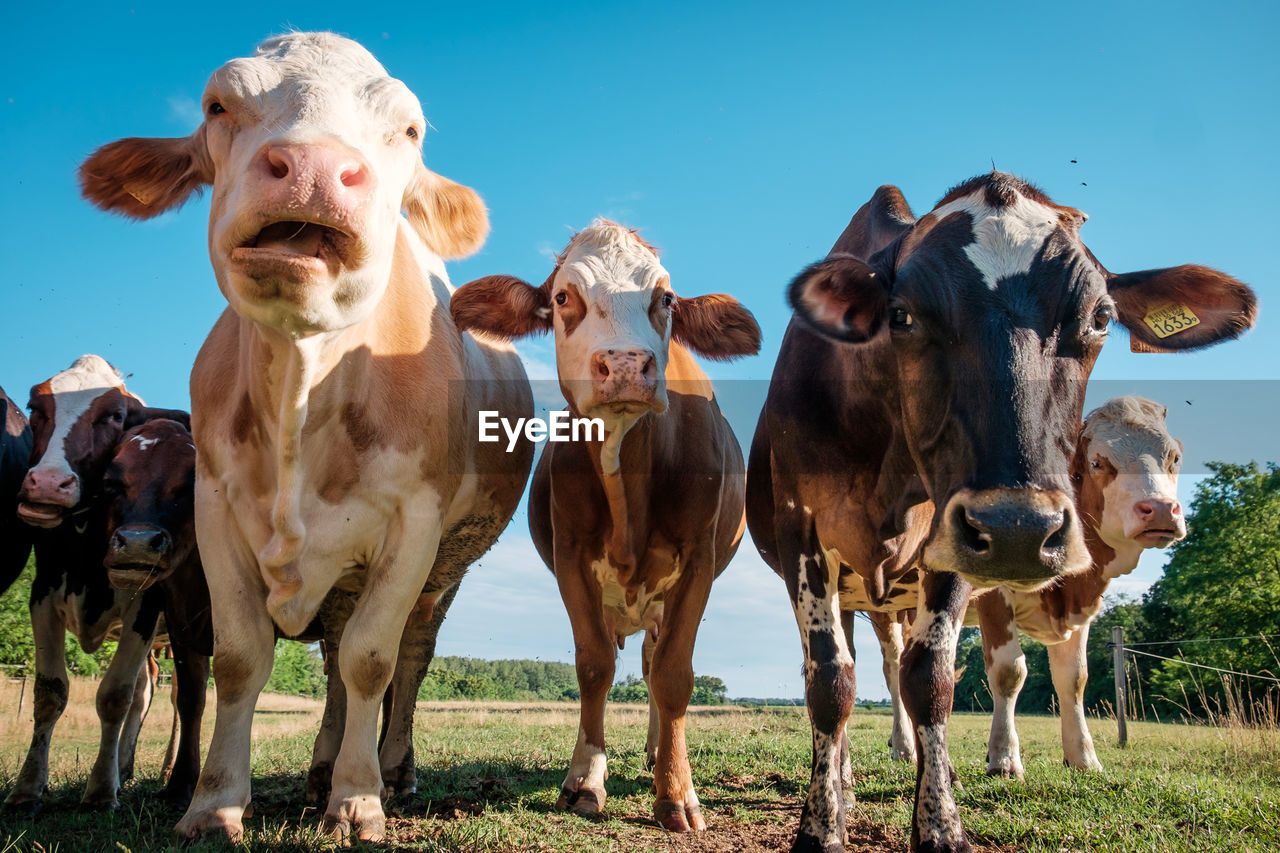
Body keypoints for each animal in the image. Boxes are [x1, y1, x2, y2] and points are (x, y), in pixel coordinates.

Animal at [80, 31, 532, 835]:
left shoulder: (415, 526)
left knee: (409, 654)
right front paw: (215, 802)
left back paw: (391, 770)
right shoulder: (215, 514)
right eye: (217, 104)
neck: (304, 384)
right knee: (334, 658)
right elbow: (241, 661)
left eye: (409, 130)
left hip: (445, 570)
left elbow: (372, 660)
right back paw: (321, 770)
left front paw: (358, 799)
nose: (316, 167)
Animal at [450, 219, 757, 829]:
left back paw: (659, 752)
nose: (625, 364)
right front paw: (584, 780)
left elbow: (674, 675)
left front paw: (677, 792)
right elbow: (593, 666)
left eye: (666, 298)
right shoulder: (571, 557)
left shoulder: (699, 561)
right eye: (563, 297)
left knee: (655, 661)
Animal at [972, 394, 1182, 773]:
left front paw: (1083, 757)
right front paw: (1005, 758)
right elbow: (1009, 671)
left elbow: (1074, 678)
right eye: (1098, 462)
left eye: (1173, 458)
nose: (1160, 509)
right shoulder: (994, 594)